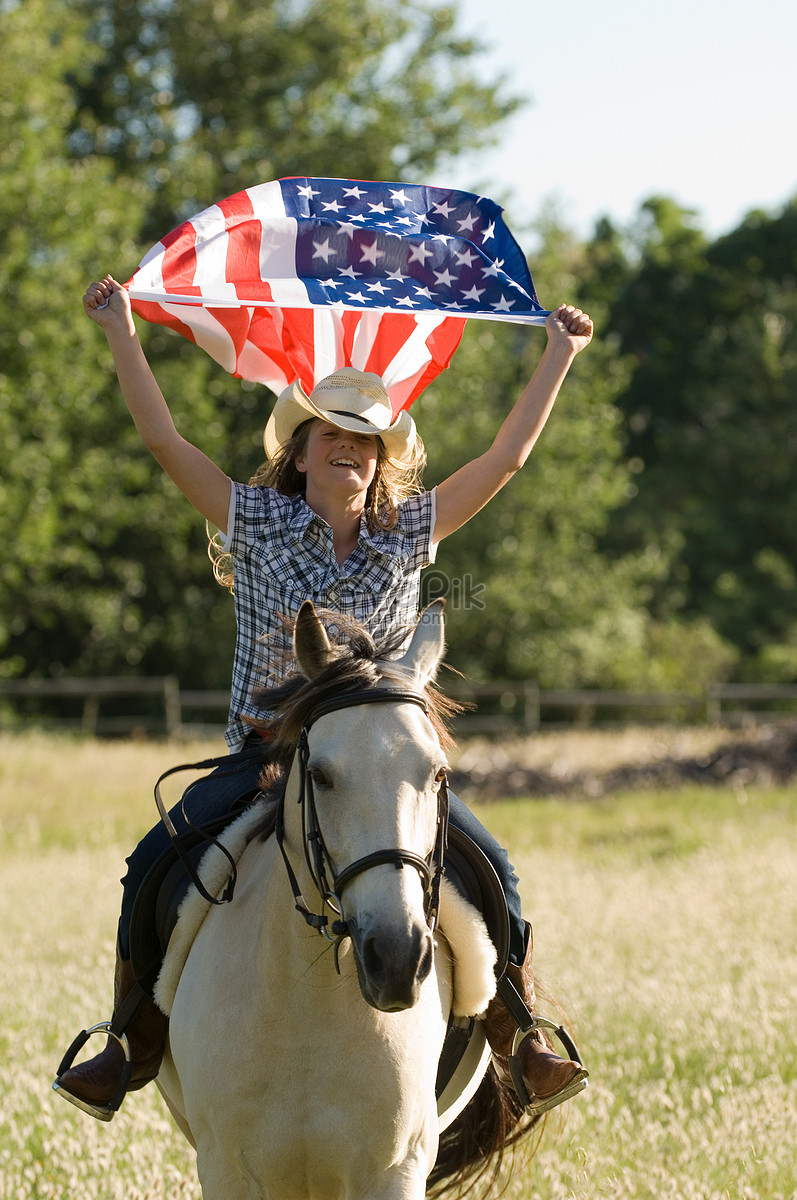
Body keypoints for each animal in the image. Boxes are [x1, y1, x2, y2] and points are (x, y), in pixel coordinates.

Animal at [151, 604, 535, 1200]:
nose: (397, 959)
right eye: (320, 776)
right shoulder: (227, 1169)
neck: (310, 1002)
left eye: (438, 774)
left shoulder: (394, 1171)